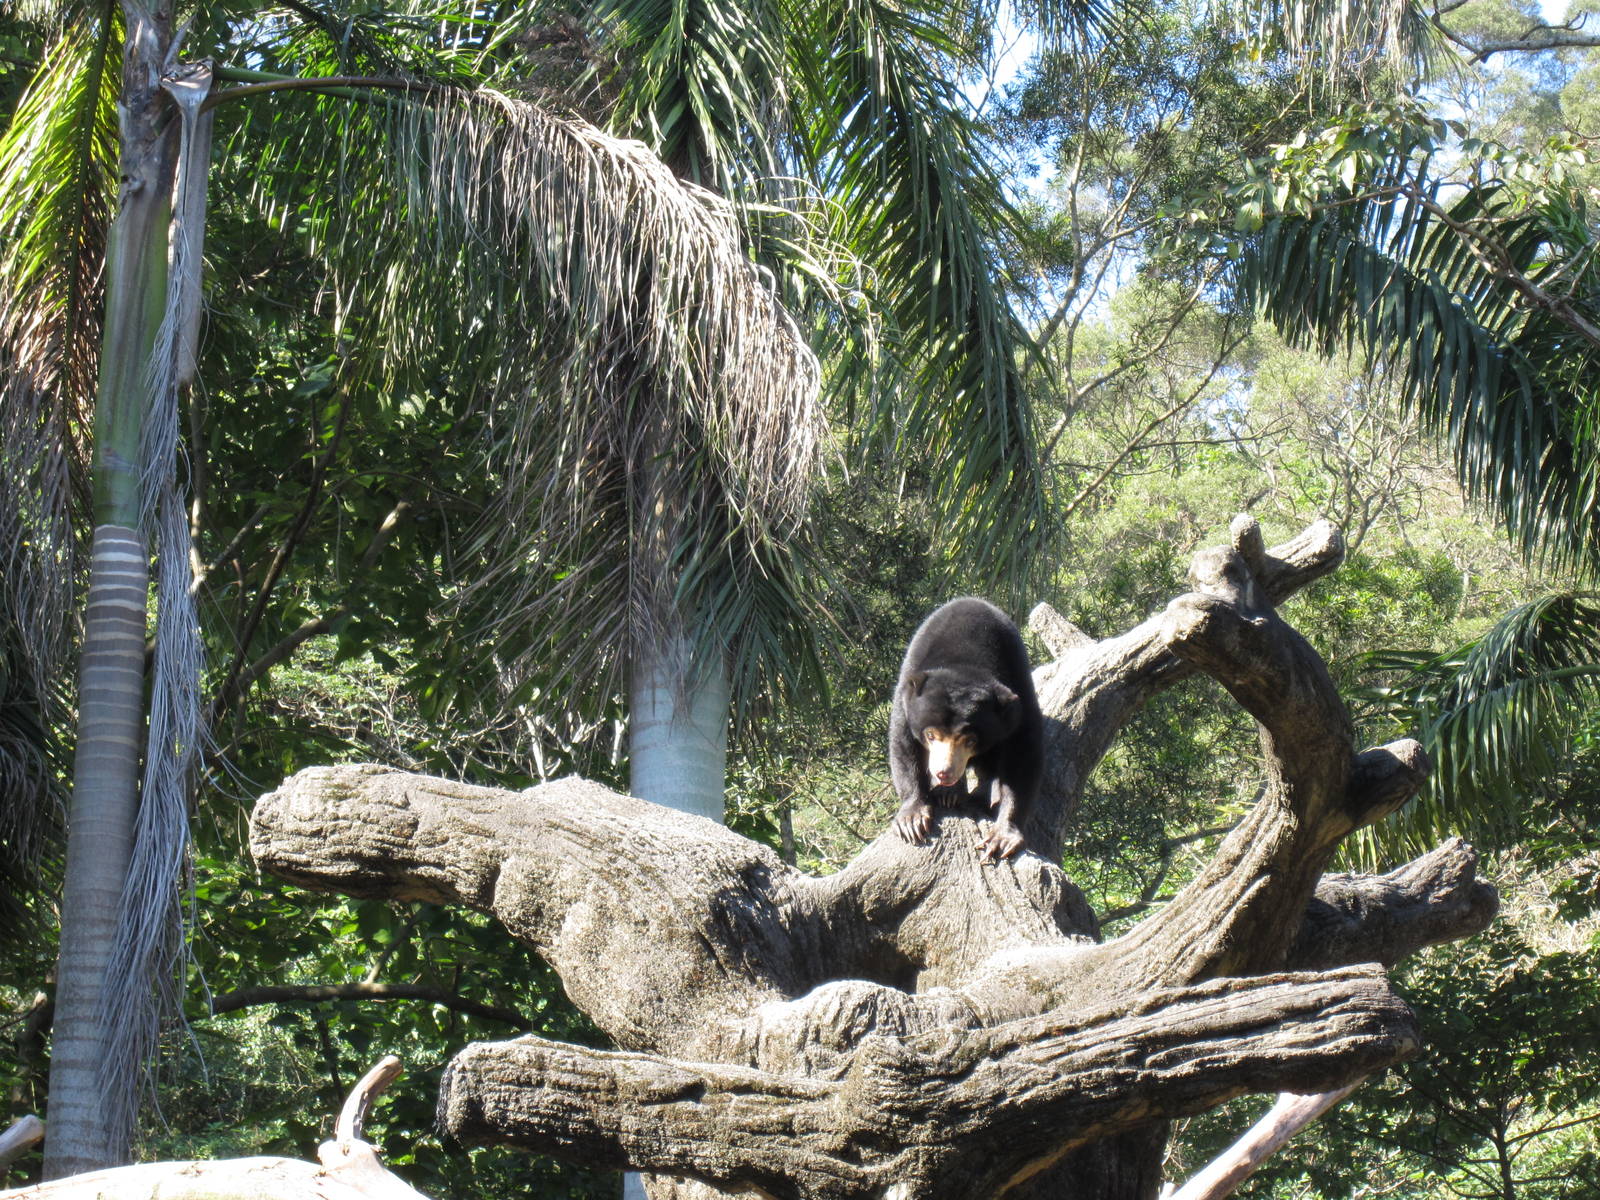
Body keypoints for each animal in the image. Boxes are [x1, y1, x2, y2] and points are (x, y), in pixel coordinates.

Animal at [888, 596, 1043, 861]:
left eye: (970, 740)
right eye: (931, 735)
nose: (944, 772)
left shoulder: (1017, 693)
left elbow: (1023, 754)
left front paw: (1001, 838)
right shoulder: (907, 691)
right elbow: (903, 743)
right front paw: (912, 820)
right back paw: (949, 794)